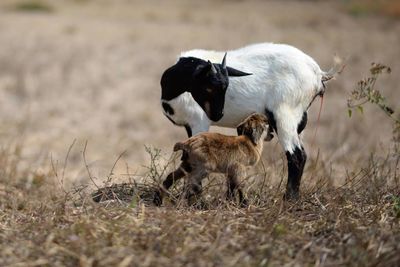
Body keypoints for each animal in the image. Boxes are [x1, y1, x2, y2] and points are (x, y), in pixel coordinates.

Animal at [159, 43, 334, 200]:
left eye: (224, 87)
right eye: (208, 87)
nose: (218, 115)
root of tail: (317, 73)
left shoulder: (198, 123)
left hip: (285, 116)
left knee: (297, 156)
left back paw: (289, 200)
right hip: (300, 121)